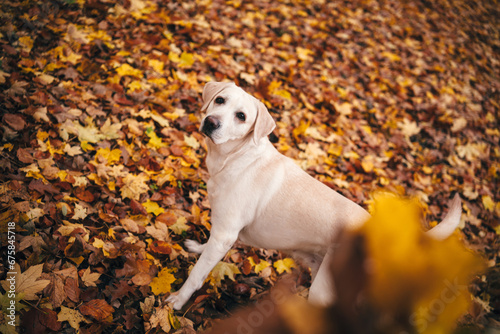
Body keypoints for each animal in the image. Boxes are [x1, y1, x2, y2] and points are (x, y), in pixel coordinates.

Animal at [166, 81, 462, 310]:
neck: (237, 157)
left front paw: (178, 301)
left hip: (323, 289)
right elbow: (206, 251)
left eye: (241, 116)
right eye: (219, 100)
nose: (211, 122)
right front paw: (197, 248)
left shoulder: (225, 233)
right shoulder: (221, 232)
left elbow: (197, 274)